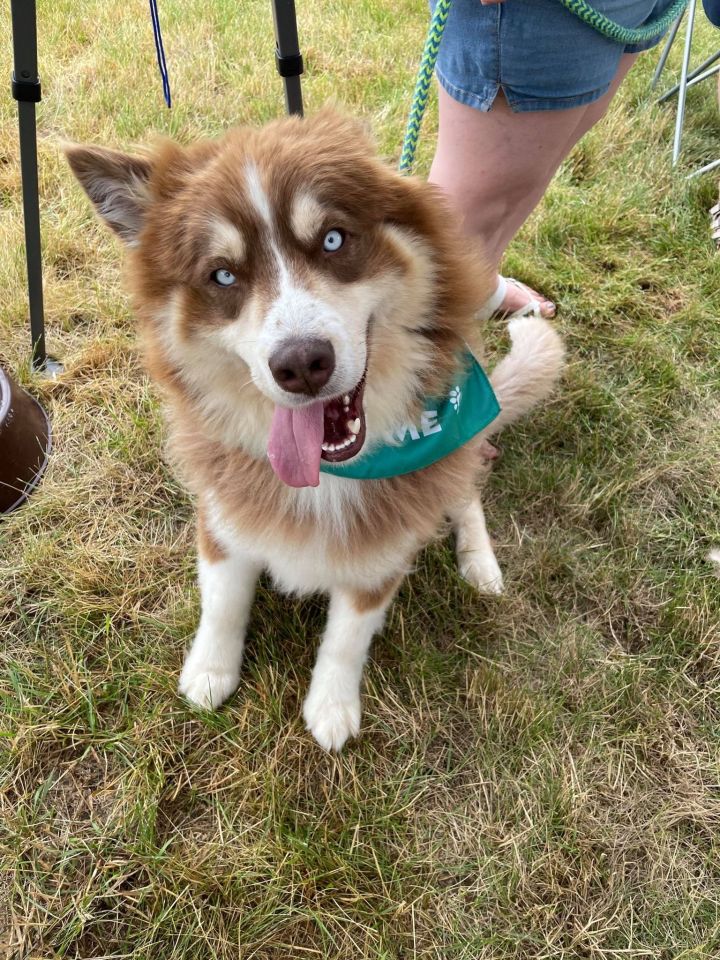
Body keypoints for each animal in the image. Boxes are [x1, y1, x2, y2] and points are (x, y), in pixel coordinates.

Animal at [64, 110, 564, 752]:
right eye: (222, 275)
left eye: (332, 240)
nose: (302, 365)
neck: (329, 474)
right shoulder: (223, 516)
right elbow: (223, 603)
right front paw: (209, 674)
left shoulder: (381, 553)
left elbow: (347, 638)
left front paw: (331, 708)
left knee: (467, 489)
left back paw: (480, 564)